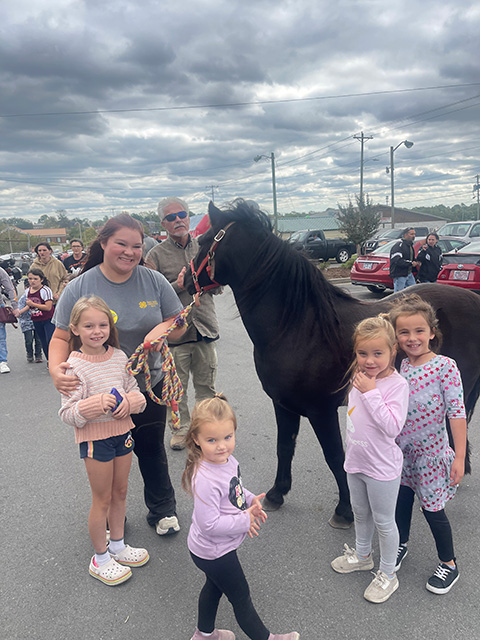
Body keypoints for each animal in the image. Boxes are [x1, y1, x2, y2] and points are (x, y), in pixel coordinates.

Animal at [186, 200, 480, 524]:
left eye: (203, 241)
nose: (184, 280)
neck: (298, 326)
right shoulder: (283, 404)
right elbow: (284, 447)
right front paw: (277, 494)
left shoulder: (321, 410)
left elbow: (336, 457)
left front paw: (345, 510)